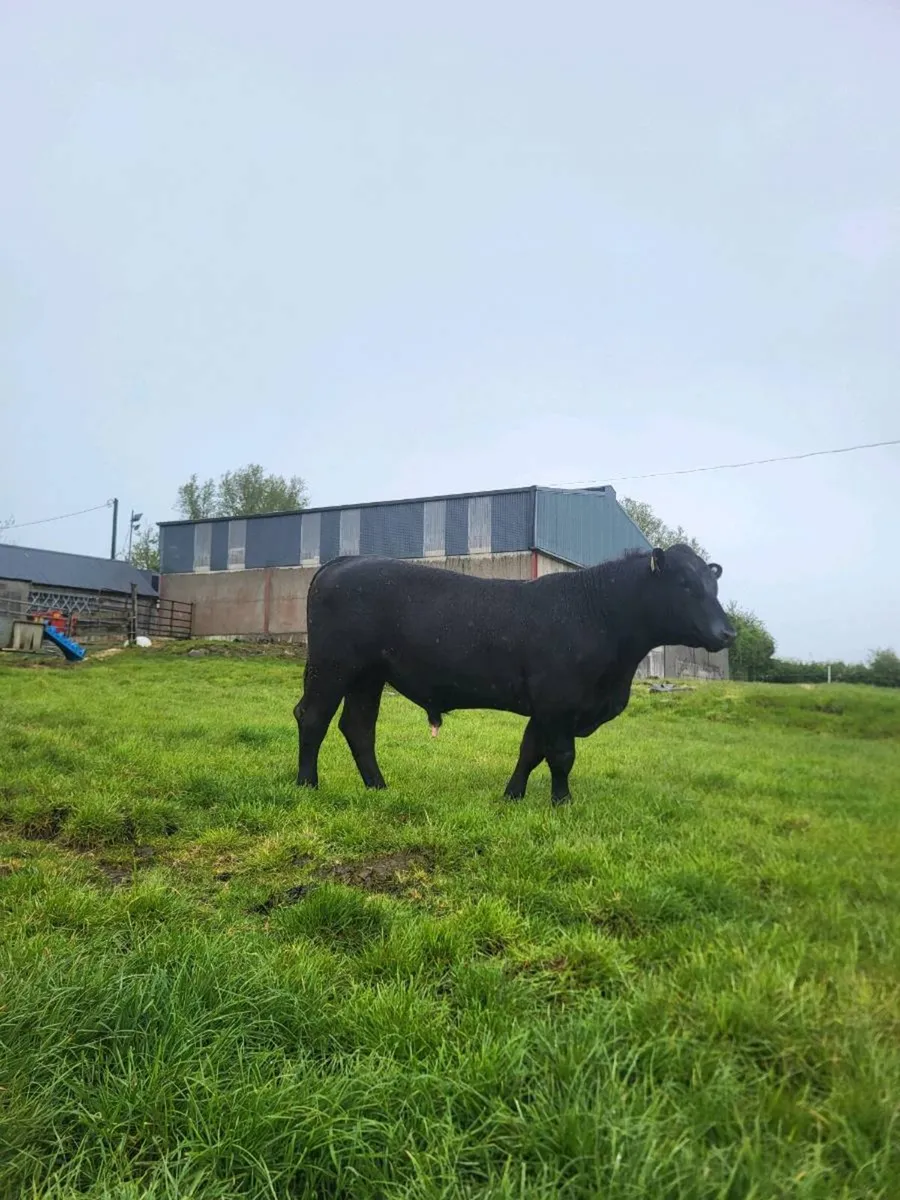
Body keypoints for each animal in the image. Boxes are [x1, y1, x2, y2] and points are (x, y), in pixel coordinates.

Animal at [293, 544, 735, 805]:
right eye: (685, 583)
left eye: (713, 584)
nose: (727, 632)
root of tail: (346, 561)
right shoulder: (558, 701)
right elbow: (561, 756)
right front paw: (562, 802)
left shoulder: (545, 706)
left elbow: (530, 751)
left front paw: (513, 796)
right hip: (334, 666)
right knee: (312, 717)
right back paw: (307, 785)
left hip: (368, 675)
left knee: (358, 726)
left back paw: (378, 787)